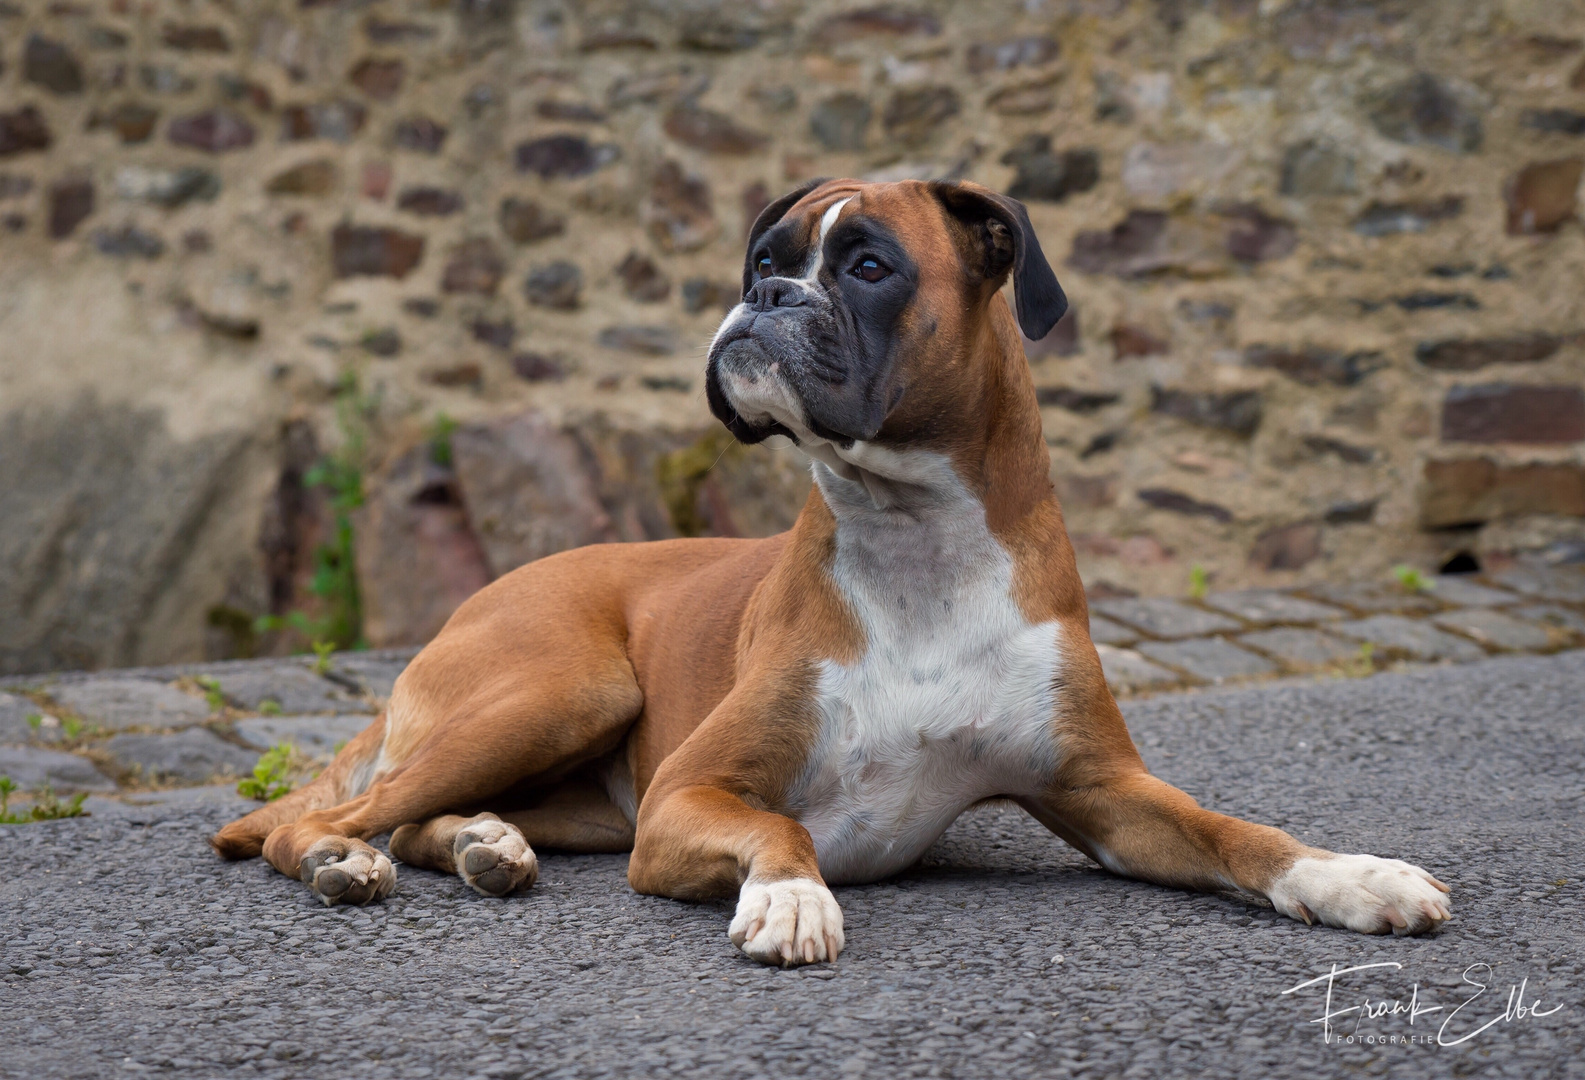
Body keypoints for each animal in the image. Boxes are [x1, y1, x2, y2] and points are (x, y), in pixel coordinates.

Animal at [217, 180, 1451, 964]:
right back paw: (344, 862)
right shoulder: (687, 799)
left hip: (582, 787)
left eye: (868, 266)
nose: (763, 298)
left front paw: (1354, 877)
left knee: (418, 817)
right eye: (764, 262)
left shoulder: (1106, 794)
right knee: (327, 821)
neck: (914, 534)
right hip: (565, 691)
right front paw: (791, 900)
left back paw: (484, 844)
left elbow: (1242, 835)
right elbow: (787, 830)